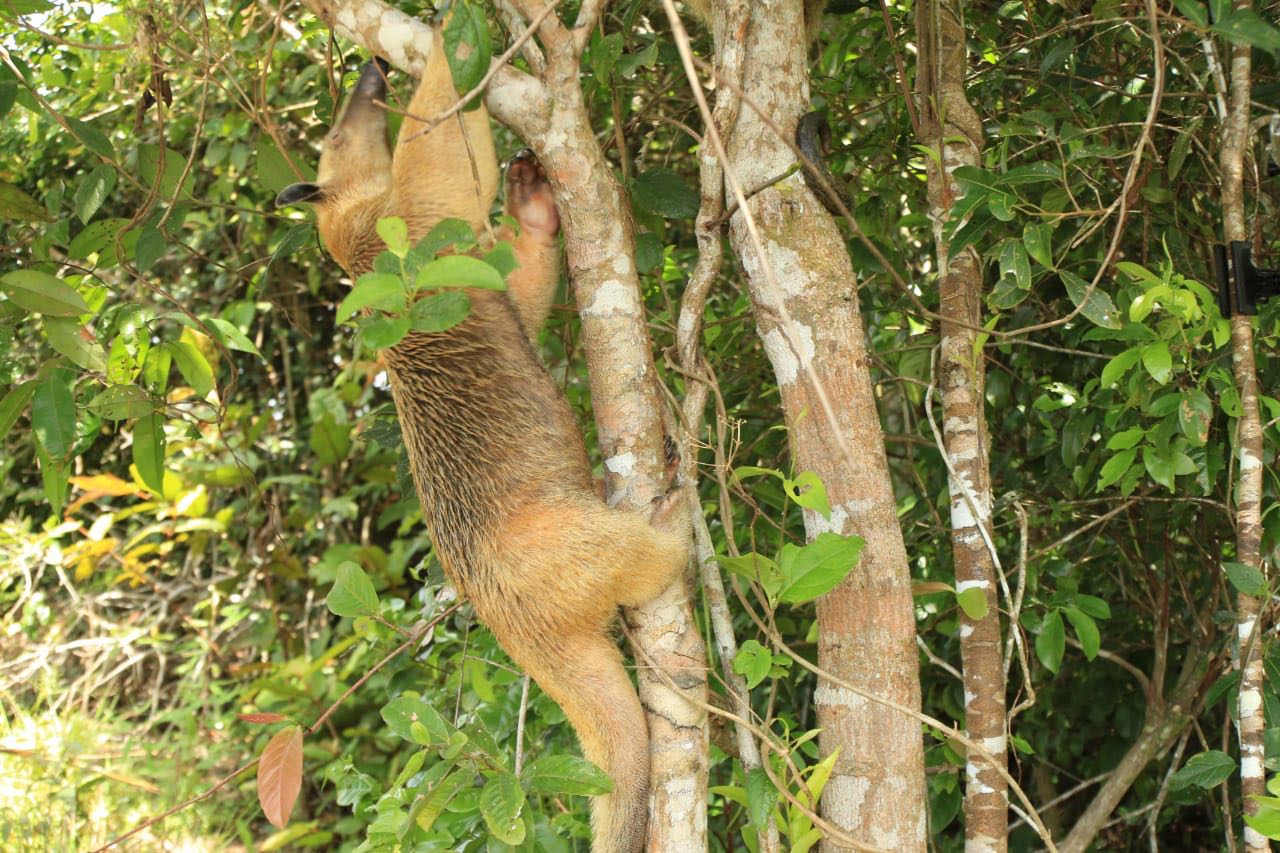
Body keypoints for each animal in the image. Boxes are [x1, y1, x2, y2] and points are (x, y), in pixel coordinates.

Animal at [275, 28, 690, 853]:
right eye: (336, 138)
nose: (370, 74)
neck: (346, 237)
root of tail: (512, 623)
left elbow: (519, 290)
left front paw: (532, 202)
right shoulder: (412, 223)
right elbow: (443, 158)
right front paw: (448, 38)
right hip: (550, 554)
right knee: (630, 557)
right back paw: (672, 522)